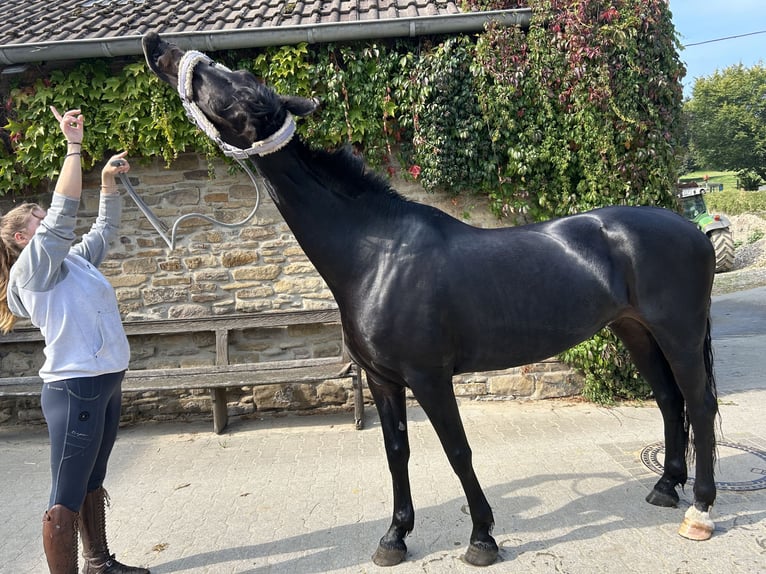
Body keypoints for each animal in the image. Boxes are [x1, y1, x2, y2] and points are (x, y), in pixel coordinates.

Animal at [142, 31, 720, 568]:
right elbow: (396, 451)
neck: (376, 253)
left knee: (699, 402)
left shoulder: (429, 377)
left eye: (235, 84)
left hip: (679, 333)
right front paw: (394, 537)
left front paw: (482, 537)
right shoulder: (383, 379)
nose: (157, 46)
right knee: (669, 400)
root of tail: (691, 229)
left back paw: (701, 510)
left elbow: (457, 451)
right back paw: (665, 488)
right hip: (635, 331)